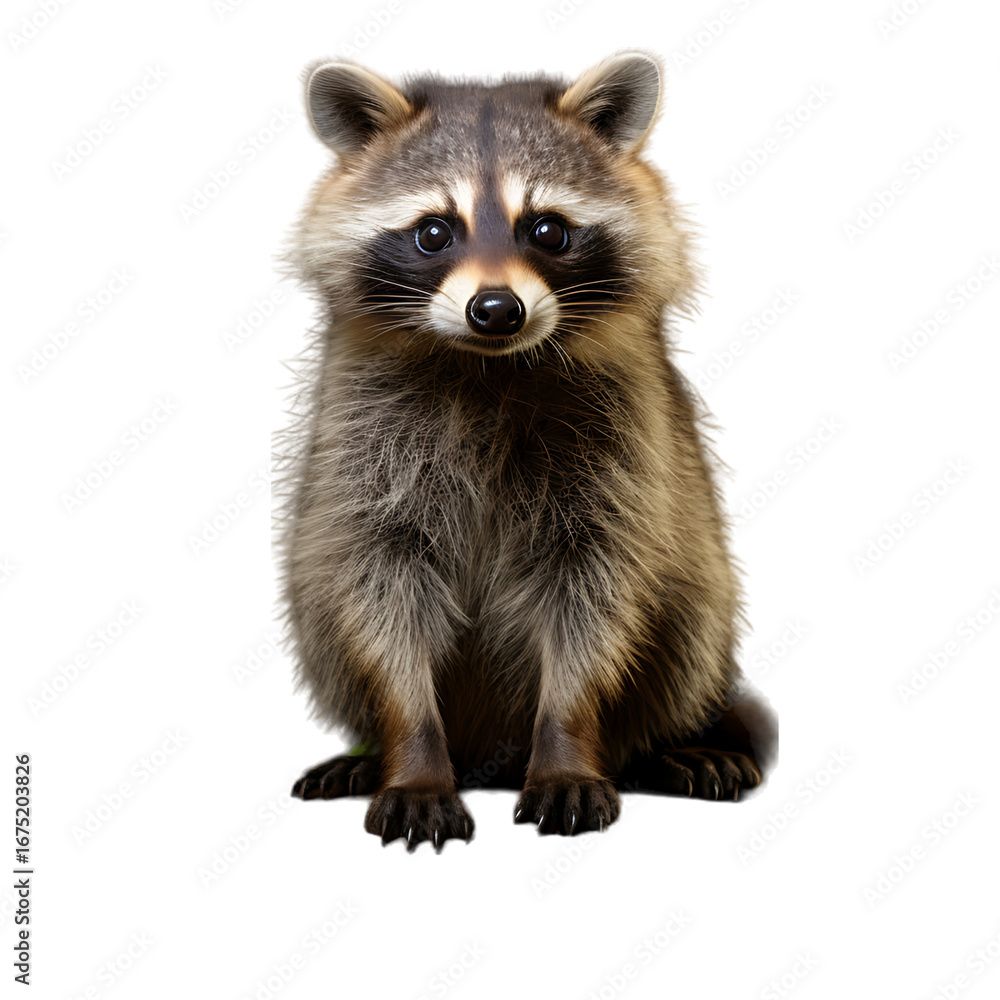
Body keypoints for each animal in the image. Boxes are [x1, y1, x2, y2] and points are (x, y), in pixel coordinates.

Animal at [280, 51, 777, 851]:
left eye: (547, 230)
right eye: (433, 233)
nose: (496, 309)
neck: (490, 364)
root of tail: (489, 752)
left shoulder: (623, 449)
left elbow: (597, 593)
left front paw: (567, 747)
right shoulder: (363, 444)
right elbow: (378, 586)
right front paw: (411, 754)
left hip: (699, 591)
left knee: (692, 616)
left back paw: (672, 744)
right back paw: (367, 754)